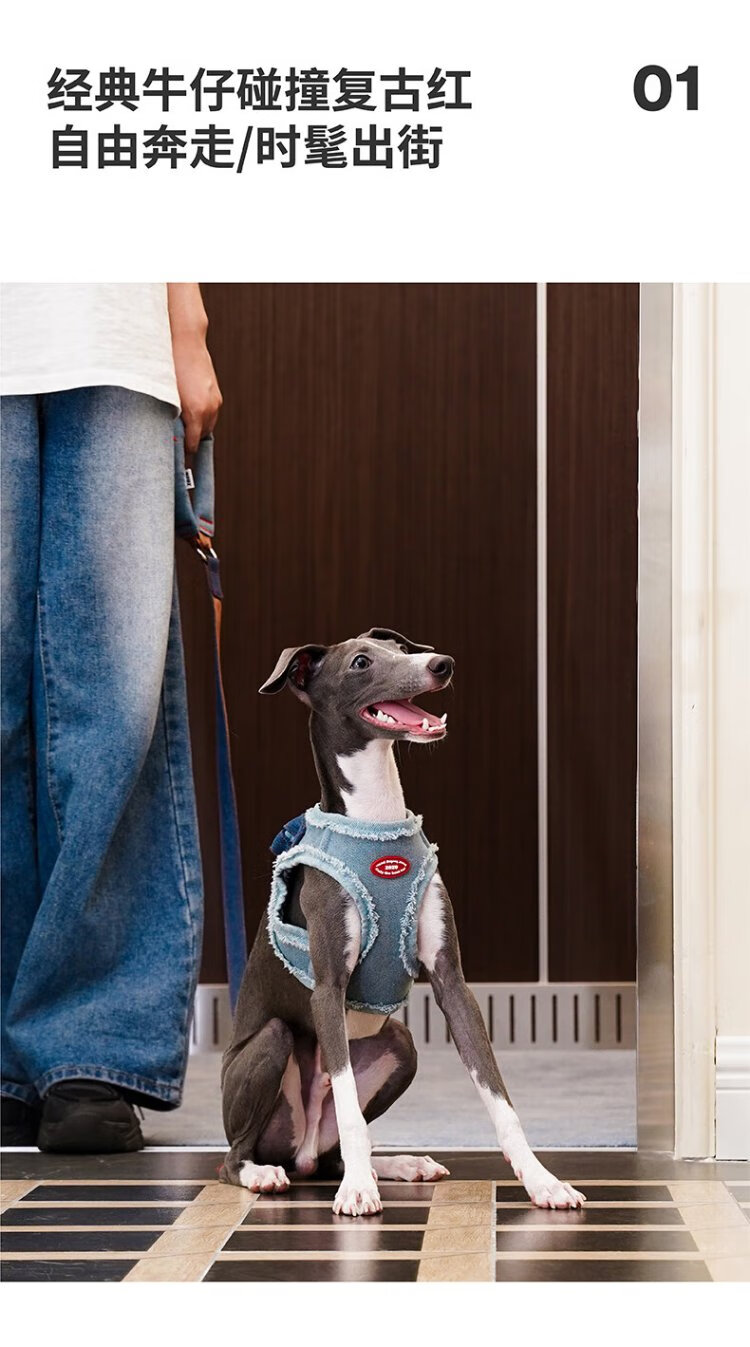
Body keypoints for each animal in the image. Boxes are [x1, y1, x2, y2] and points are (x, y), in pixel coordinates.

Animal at [220, 628, 586, 1217]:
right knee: (238, 1155)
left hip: (400, 1047)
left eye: (400, 648)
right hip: (272, 1047)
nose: (443, 664)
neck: (377, 822)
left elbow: (499, 1099)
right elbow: (350, 1110)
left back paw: (395, 1165)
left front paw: (542, 1181)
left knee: (329, 1155)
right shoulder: (328, 989)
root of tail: (298, 1151)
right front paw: (358, 1193)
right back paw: (266, 1173)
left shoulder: (453, 983)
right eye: (361, 663)